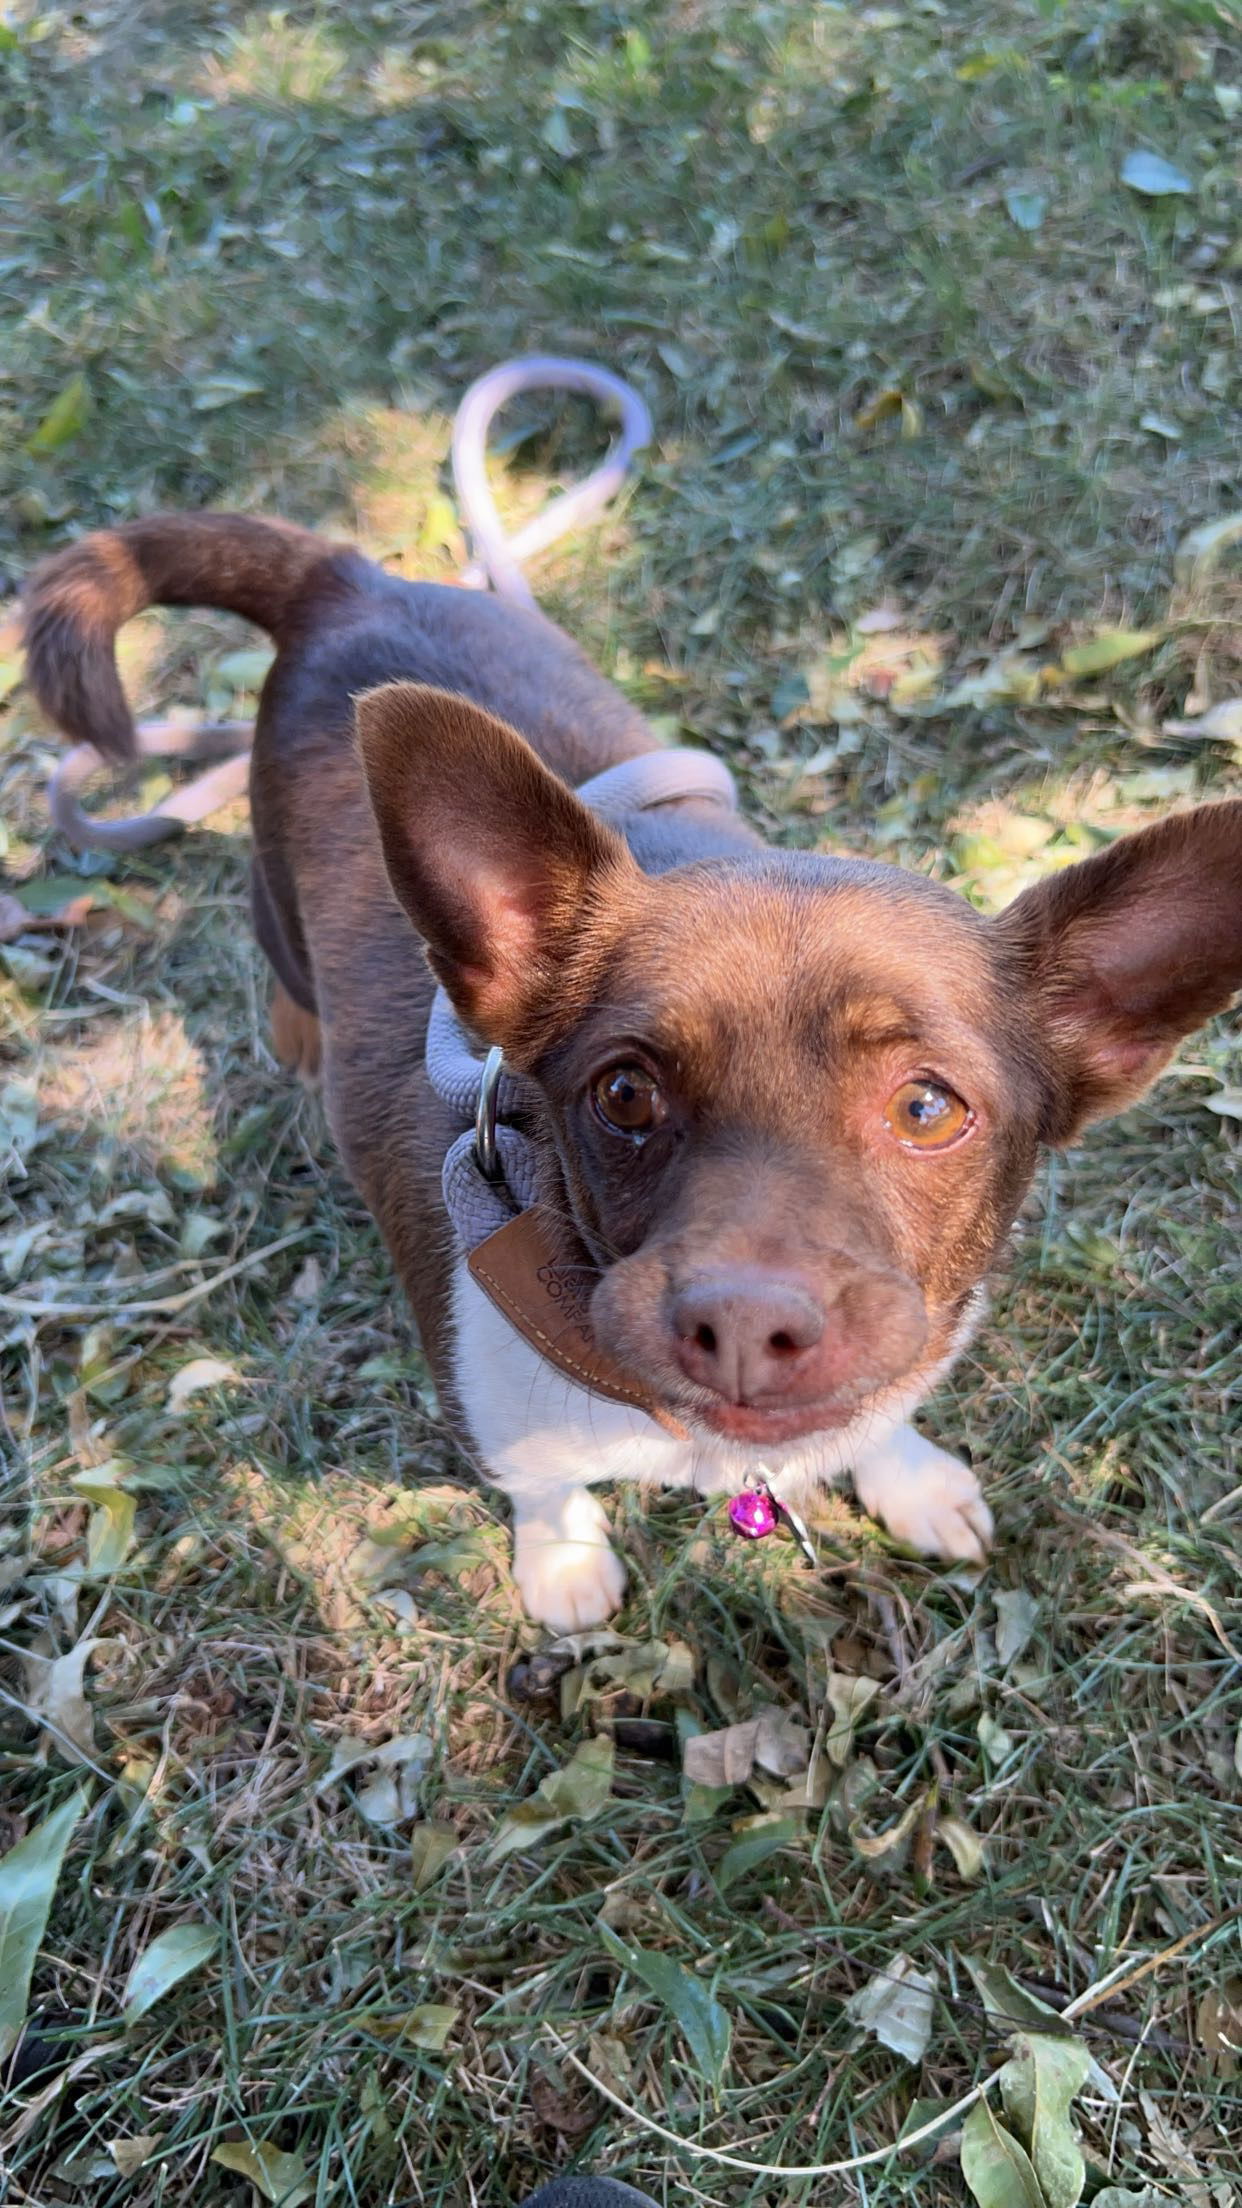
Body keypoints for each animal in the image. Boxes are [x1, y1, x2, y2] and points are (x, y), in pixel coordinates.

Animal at [21, 512, 1237, 1625]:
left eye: (929, 1108)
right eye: (623, 1094)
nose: (745, 1326)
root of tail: (346, 575)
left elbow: (881, 1408)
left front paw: (908, 1477)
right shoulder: (501, 1414)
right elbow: (544, 1486)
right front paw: (562, 1566)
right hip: (278, 885)